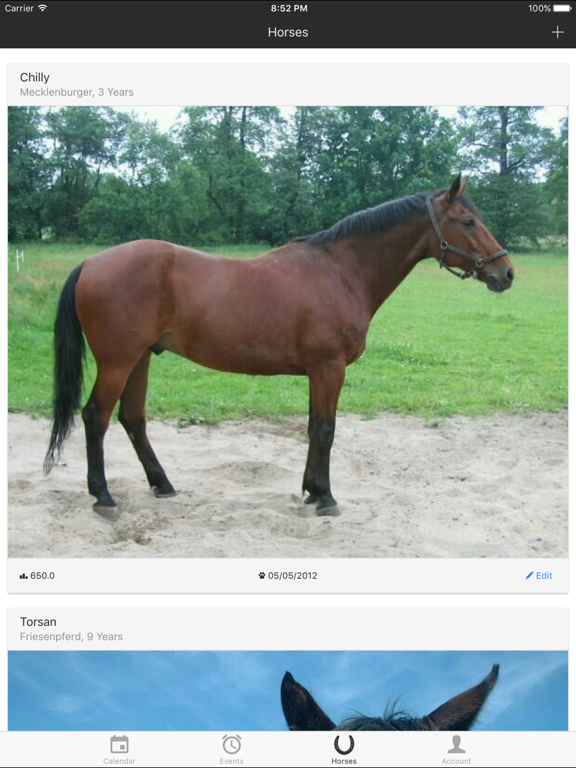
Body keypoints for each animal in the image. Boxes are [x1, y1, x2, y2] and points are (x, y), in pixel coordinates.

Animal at [43, 175, 514, 518]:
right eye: (468, 222)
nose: (506, 272)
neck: (340, 270)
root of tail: (90, 263)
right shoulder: (329, 368)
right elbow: (325, 430)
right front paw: (325, 497)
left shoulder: (318, 372)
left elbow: (312, 427)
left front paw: (310, 490)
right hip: (118, 361)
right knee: (96, 418)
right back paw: (103, 496)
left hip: (140, 358)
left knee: (133, 419)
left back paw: (162, 484)